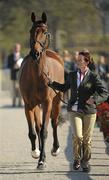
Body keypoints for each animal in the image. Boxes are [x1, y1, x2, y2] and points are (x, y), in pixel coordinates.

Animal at [19, 11, 64, 169]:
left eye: (44, 32)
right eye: (31, 31)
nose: (35, 54)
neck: (37, 75)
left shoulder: (47, 102)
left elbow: (44, 130)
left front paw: (42, 161)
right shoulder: (28, 104)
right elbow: (34, 131)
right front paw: (36, 153)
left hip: (57, 102)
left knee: (54, 123)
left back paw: (55, 149)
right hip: (36, 105)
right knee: (38, 127)